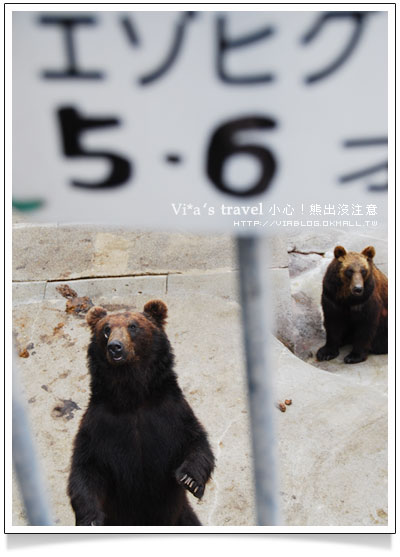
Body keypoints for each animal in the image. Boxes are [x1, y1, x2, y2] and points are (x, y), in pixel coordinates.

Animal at [67, 298, 214, 524]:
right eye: (106, 329)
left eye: (133, 326)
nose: (115, 347)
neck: (133, 398)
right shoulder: (100, 426)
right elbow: (86, 468)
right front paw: (90, 519)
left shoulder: (171, 414)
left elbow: (197, 442)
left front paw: (189, 479)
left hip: (182, 518)